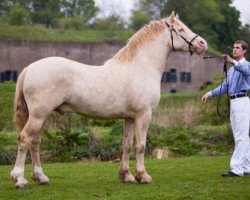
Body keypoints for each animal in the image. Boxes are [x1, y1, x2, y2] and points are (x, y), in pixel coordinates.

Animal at [10, 11, 208, 188]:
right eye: (181, 29)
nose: (202, 43)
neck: (142, 67)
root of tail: (29, 68)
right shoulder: (143, 115)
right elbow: (141, 146)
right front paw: (143, 176)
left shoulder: (130, 118)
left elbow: (127, 145)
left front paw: (126, 176)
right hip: (38, 115)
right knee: (25, 139)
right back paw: (19, 179)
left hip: (42, 116)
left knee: (35, 142)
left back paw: (41, 177)